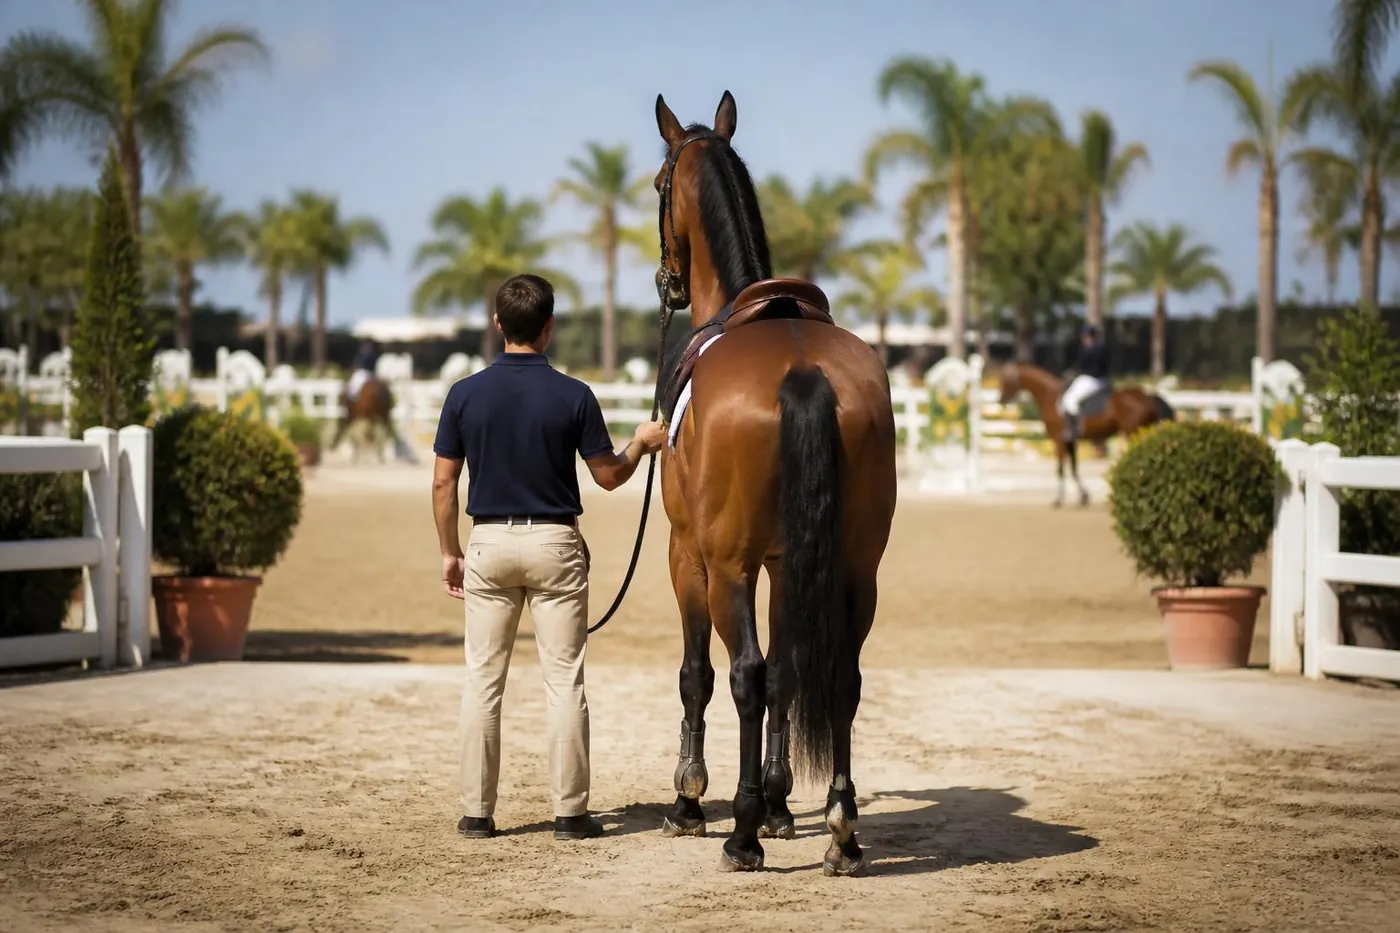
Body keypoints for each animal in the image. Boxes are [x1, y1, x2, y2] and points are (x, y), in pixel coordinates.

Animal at [649, 90, 898, 877]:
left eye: (656, 184)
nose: (666, 280)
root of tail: (803, 370)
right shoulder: (790, 562)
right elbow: (794, 671)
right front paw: (787, 805)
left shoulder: (687, 556)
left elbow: (701, 674)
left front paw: (694, 799)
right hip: (855, 569)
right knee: (841, 676)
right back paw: (842, 829)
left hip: (727, 567)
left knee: (746, 674)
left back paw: (741, 832)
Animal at [997, 361, 1175, 507]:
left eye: (1007, 381)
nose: (1001, 400)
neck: (1050, 395)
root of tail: (1149, 395)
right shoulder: (1071, 441)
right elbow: (1074, 468)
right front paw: (1084, 497)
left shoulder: (1059, 441)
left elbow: (1061, 469)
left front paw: (1058, 500)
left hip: (1132, 433)